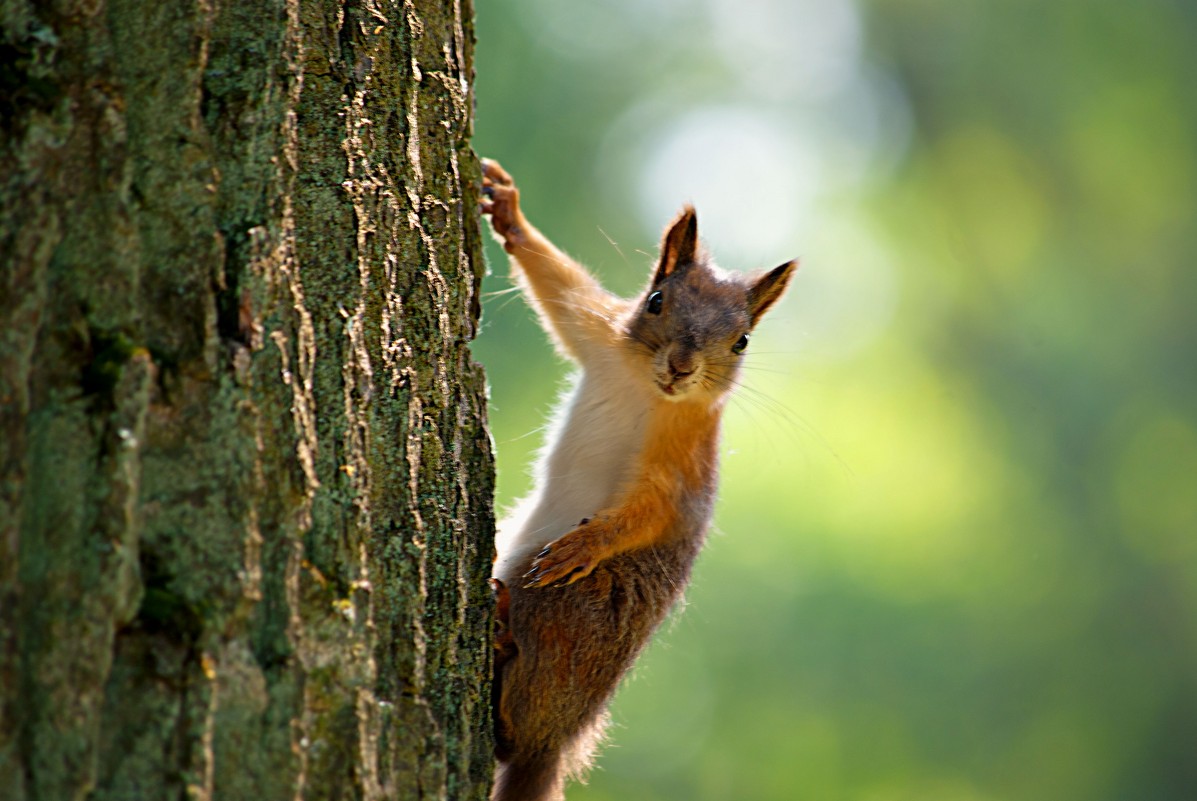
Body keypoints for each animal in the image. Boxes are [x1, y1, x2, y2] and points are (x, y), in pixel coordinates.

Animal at [476, 158, 794, 799]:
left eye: (742, 340)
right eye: (655, 300)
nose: (682, 367)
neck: (648, 388)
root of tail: (557, 744)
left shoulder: (684, 462)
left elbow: (653, 510)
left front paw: (586, 542)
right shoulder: (597, 334)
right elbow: (561, 289)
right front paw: (509, 211)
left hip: (569, 605)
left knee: (513, 732)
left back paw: (502, 642)